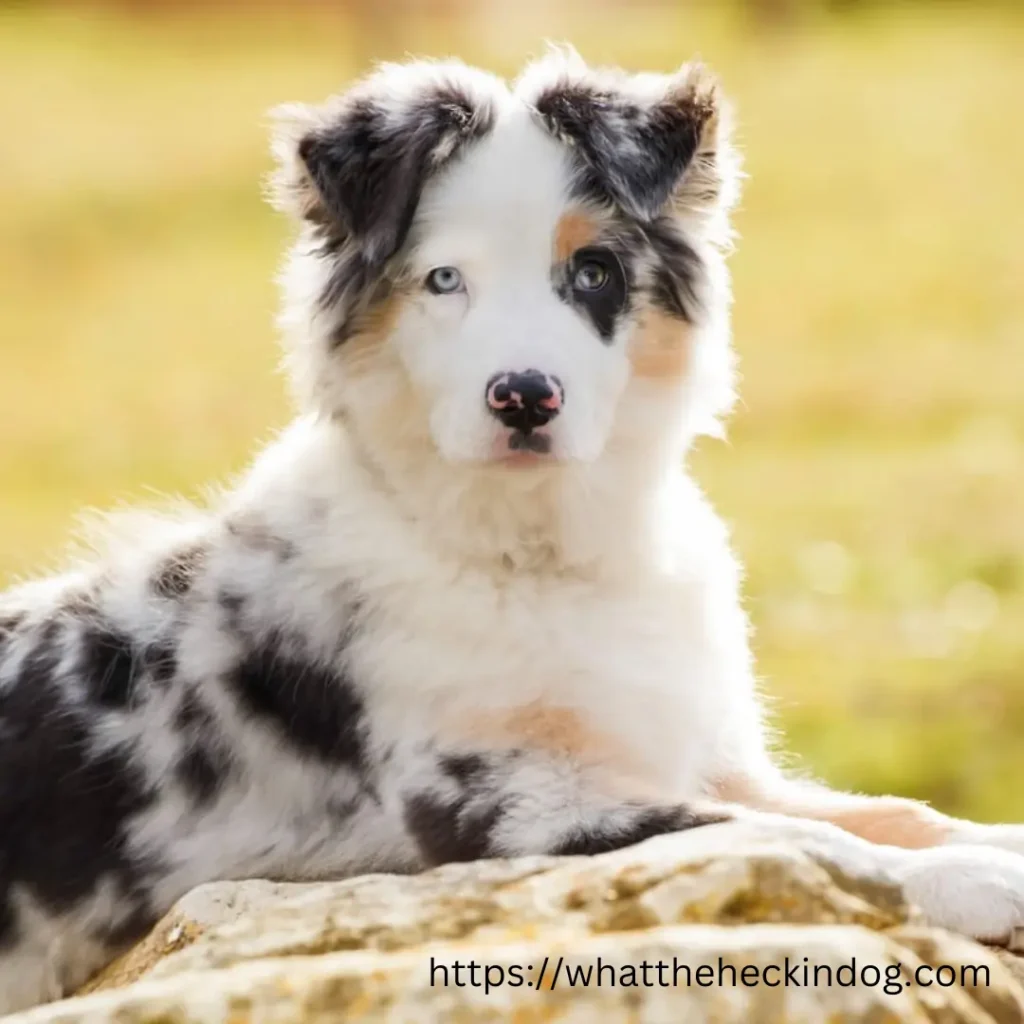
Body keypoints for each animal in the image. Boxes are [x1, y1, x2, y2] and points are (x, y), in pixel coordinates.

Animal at [2, 46, 1024, 1007]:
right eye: (443, 279)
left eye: (594, 270)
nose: (525, 397)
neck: (535, 552)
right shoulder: (511, 806)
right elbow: (791, 840)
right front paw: (978, 878)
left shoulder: (698, 751)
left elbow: (883, 811)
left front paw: (989, 840)